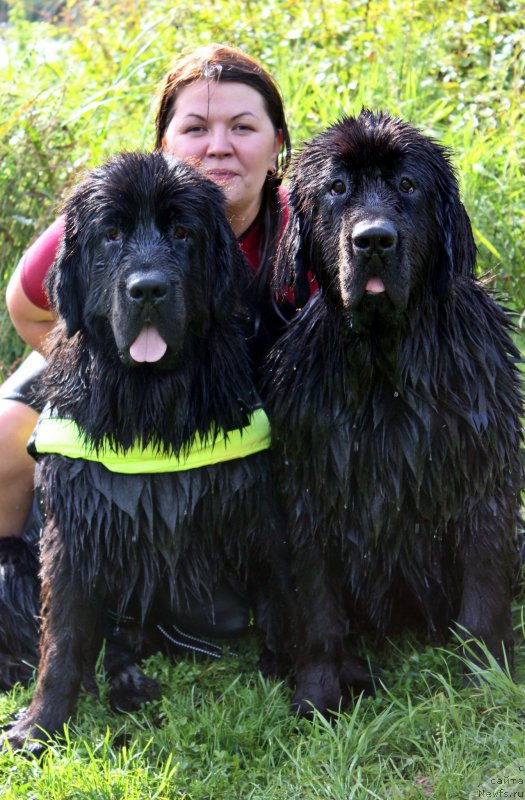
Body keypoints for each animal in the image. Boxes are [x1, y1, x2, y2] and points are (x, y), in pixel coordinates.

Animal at [3, 153, 290, 752]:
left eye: (182, 233)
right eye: (111, 234)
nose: (148, 289)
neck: (149, 407)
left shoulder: (256, 511)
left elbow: (281, 599)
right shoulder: (71, 533)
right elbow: (60, 640)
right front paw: (38, 725)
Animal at [264, 109, 520, 716]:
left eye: (407, 185)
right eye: (337, 188)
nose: (374, 239)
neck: (386, 360)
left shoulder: (483, 474)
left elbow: (484, 594)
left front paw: (489, 678)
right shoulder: (310, 484)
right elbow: (317, 608)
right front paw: (317, 693)